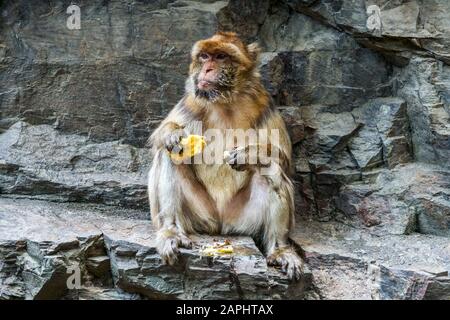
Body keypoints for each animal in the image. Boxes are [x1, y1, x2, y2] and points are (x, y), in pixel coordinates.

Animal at [149, 31, 304, 278]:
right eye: (204, 56)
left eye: (221, 56)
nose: (207, 69)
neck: (225, 101)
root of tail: (221, 226)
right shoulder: (192, 100)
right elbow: (161, 138)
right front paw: (173, 135)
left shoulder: (263, 101)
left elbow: (283, 158)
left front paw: (248, 155)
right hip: (201, 214)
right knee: (171, 154)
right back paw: (172, 231)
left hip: (242, 219)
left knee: (270, 170)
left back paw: (280, 249)